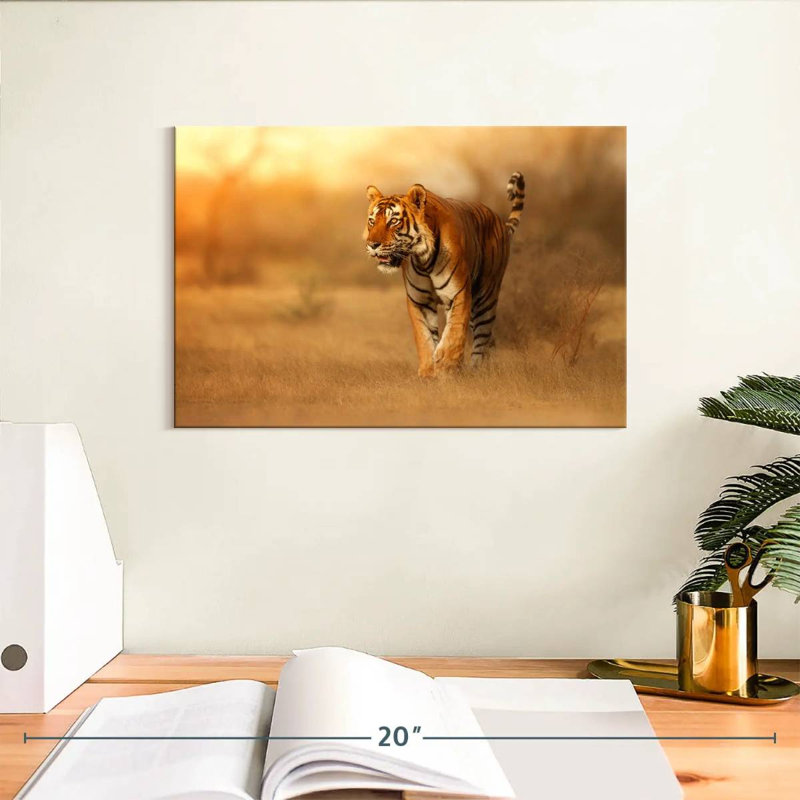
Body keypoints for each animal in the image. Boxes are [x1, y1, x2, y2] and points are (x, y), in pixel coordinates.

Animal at [363, 173, 525, 377]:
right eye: (372, 221)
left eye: (393, 221)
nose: (372, 244)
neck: (423, 259)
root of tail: (500, 222)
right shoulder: (419, 301)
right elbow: (424, 337)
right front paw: (428, 372)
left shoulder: (458, 294)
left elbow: (454, 333)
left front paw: (446, 367)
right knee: (489, 339)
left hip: (485, 297)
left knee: (482, 337)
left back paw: (477, 371)